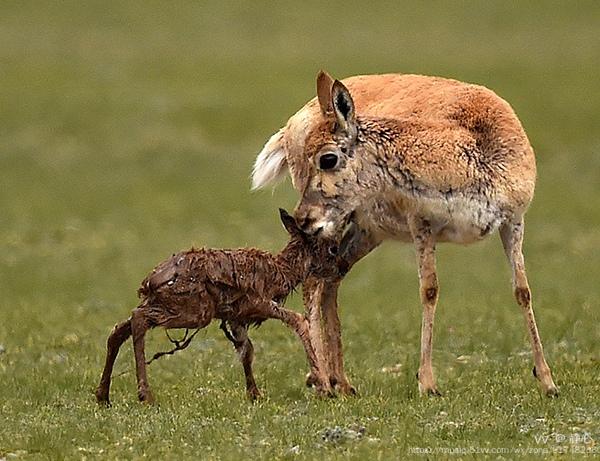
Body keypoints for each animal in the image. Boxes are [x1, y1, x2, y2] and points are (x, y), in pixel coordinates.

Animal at [95, 208, 344, 402]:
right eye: (332, 249)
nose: (340, 270)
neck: (279, 272)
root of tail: (149, 282)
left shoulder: (235, 316)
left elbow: (246, 351)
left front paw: (254, 394)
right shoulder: (257, 302)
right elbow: (298, 320)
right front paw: (324, 388)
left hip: (173, 305)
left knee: (119, 329)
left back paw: (103, 396)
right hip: (194, 310)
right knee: (138, 319)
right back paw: (145, 395)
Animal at [252, 71, 556, 396]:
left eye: (327, 158)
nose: (302, 218)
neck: (474, 144)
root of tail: (293, 122)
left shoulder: (514, 220)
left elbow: (522, 291)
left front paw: (548, 381)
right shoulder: (421, 224)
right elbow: (429, 290)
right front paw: (428, 383)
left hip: (365, 232)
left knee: (330, 280)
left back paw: (341, 382)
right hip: (339, 226)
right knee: (313, 282)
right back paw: (322, 382)